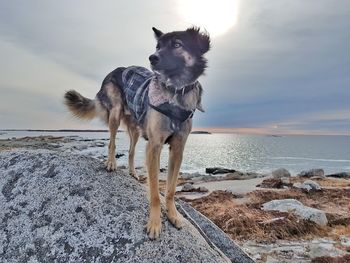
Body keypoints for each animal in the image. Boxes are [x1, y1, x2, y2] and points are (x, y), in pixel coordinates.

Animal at [63, 26, 211, 239]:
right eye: (158, 46)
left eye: (177, 44)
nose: (152, 58)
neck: (175, 92)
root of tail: (116, 69)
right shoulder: (154, 146)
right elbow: (155, 192)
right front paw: (155, 223)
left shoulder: (177, 149)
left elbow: (171, 189)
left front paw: (173, 214)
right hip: (115, 114)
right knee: (112, 142)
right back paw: (111, 163)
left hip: (136, 129)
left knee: (131, 151)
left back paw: (133, 172)